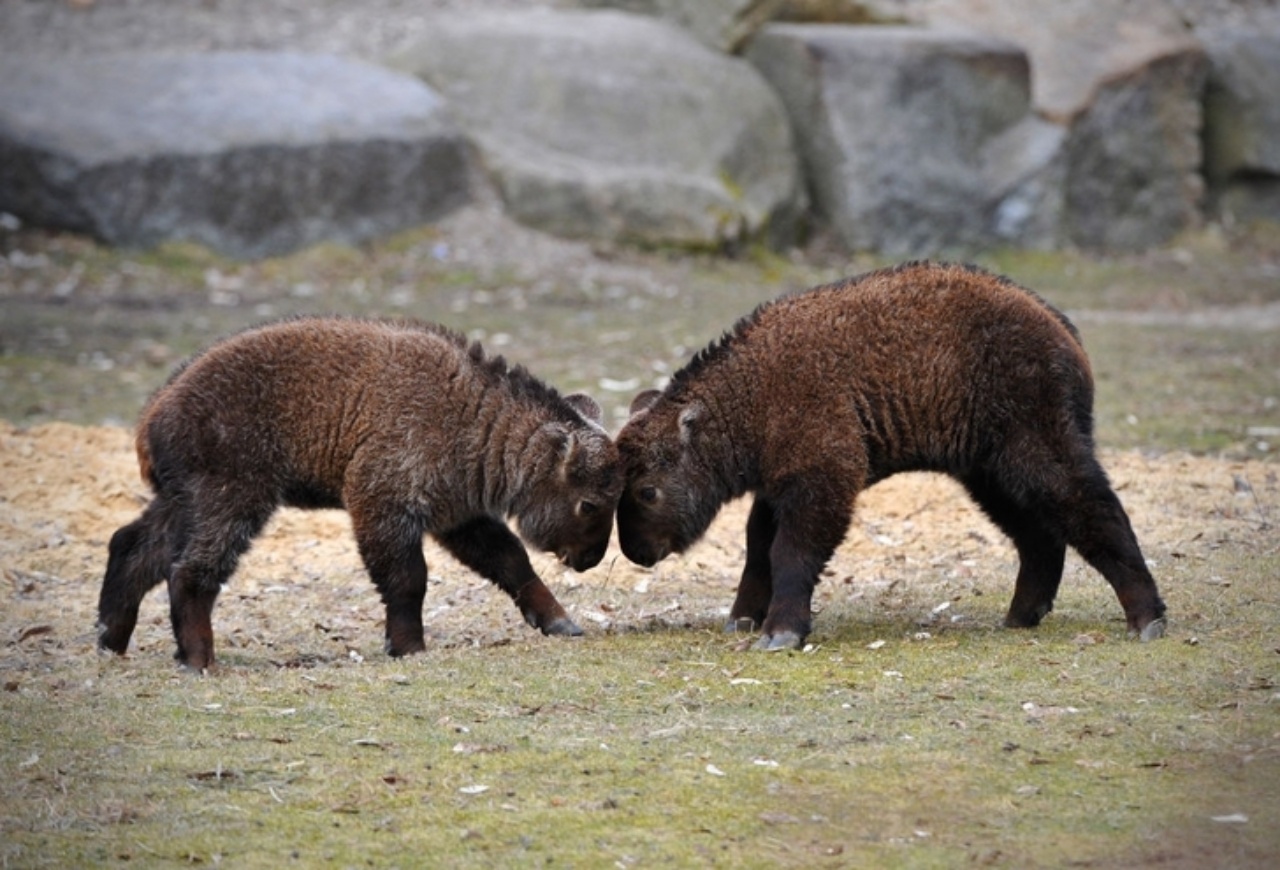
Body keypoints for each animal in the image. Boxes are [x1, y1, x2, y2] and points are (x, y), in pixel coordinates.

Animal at [97, 316, 622, 670]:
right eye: (590, 503)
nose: (590, 559)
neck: (477, 417)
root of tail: (153, 416)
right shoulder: (381, 506)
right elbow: (408, 580)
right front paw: (408, 647)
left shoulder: (459, 517)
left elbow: (512, 563)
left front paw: (559, 621)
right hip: (232, 501)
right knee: (189, 571)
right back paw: (199, 659)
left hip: (182, 503)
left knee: (132, 547)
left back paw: (110, 640)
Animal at [614, 262, 1167, 649]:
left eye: (647, 490)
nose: (635, 552)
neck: (750, 391)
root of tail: (1063, 332)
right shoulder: (779, 486)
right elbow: (758, 549)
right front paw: (744, 618)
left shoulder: (822, 481)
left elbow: (790, 552)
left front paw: (781, 632)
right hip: (989, 475)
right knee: (1038, 536)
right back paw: (1020, 616)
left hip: (1037, 456)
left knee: (1093, 511)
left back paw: (1147, 619)